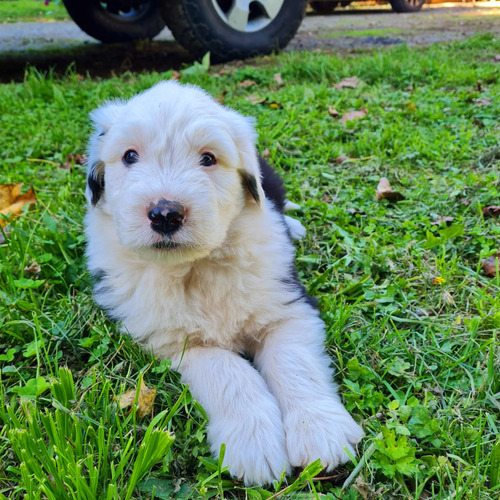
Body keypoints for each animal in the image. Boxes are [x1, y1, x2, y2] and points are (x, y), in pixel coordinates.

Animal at [86, 81, 364, 484]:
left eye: (208, 159)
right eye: (130, 156)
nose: (165, 214)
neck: (197, 266)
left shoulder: (289, 306)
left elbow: (294, 361)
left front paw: (320, 431)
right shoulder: (176, 342)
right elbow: (229, 372)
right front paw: (256, 446)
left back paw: (294, 226)